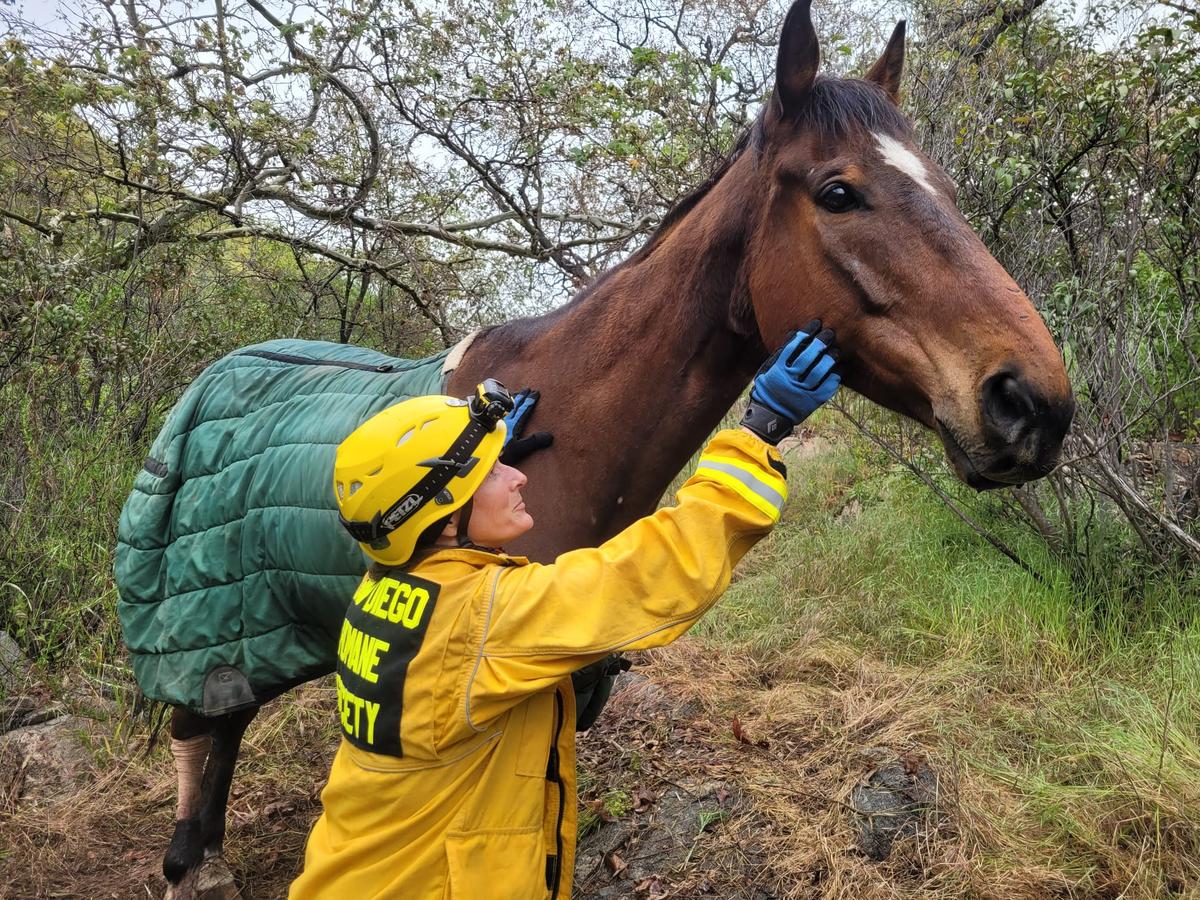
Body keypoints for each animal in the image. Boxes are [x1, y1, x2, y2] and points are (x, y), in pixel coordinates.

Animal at [140, 1, 1074, 893]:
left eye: (943, 186)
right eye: (838, 193)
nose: (1035, 403)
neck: (563, 430)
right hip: (208, 631)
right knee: (202, 724)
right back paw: (194, 863)